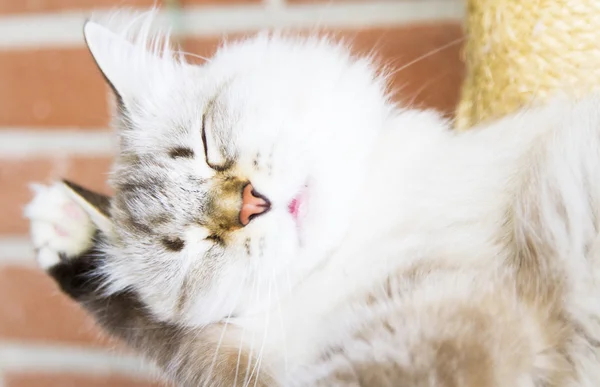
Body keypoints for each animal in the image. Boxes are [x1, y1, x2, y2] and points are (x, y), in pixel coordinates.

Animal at [25, 9, 600, 387]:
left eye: (207, 147)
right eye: (191, 245)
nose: (251, 205)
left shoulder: (451, 316)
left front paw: (61, 221)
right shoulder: (265, 357)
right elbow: (164, 333)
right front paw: (60, 228)